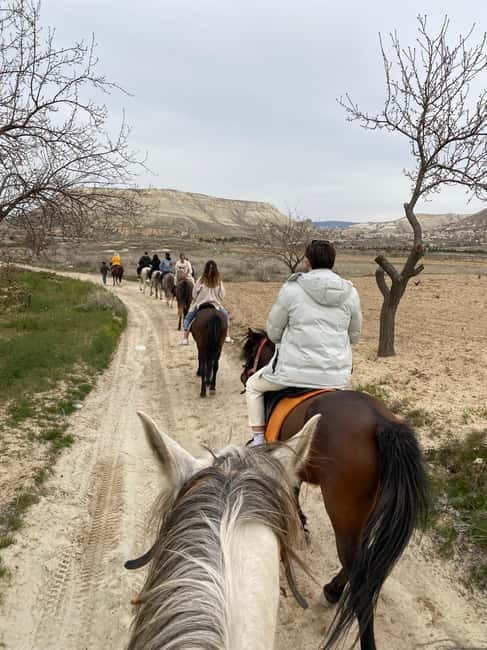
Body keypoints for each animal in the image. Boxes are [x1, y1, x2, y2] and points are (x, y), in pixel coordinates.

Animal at [240, 328, 428, 650]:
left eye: (249, 351)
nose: (243, 376)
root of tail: (380, 422)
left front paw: (299, 526)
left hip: (342, 508)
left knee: (359, 574)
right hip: (364, 508)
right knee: (360, 558)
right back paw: (332, 590)